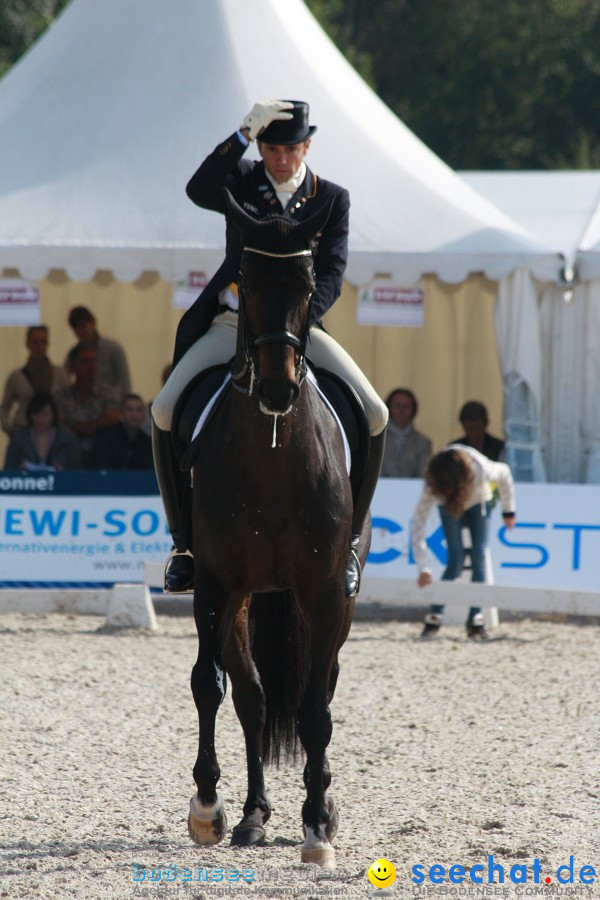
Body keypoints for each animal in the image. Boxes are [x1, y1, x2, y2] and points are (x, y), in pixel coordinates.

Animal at [186, 188, 370, 864]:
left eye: (310, 283)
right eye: (246, 276)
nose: (275, 389)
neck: (272, 454)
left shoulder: (322, 589)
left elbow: (316, 708)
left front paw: (317, 824)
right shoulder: (214, 585)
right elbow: (210, 687)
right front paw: (207, 809)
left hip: (336, 599)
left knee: (322, 688)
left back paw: (322, 806)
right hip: (244, 597)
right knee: (253, 698)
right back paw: (253, 814)